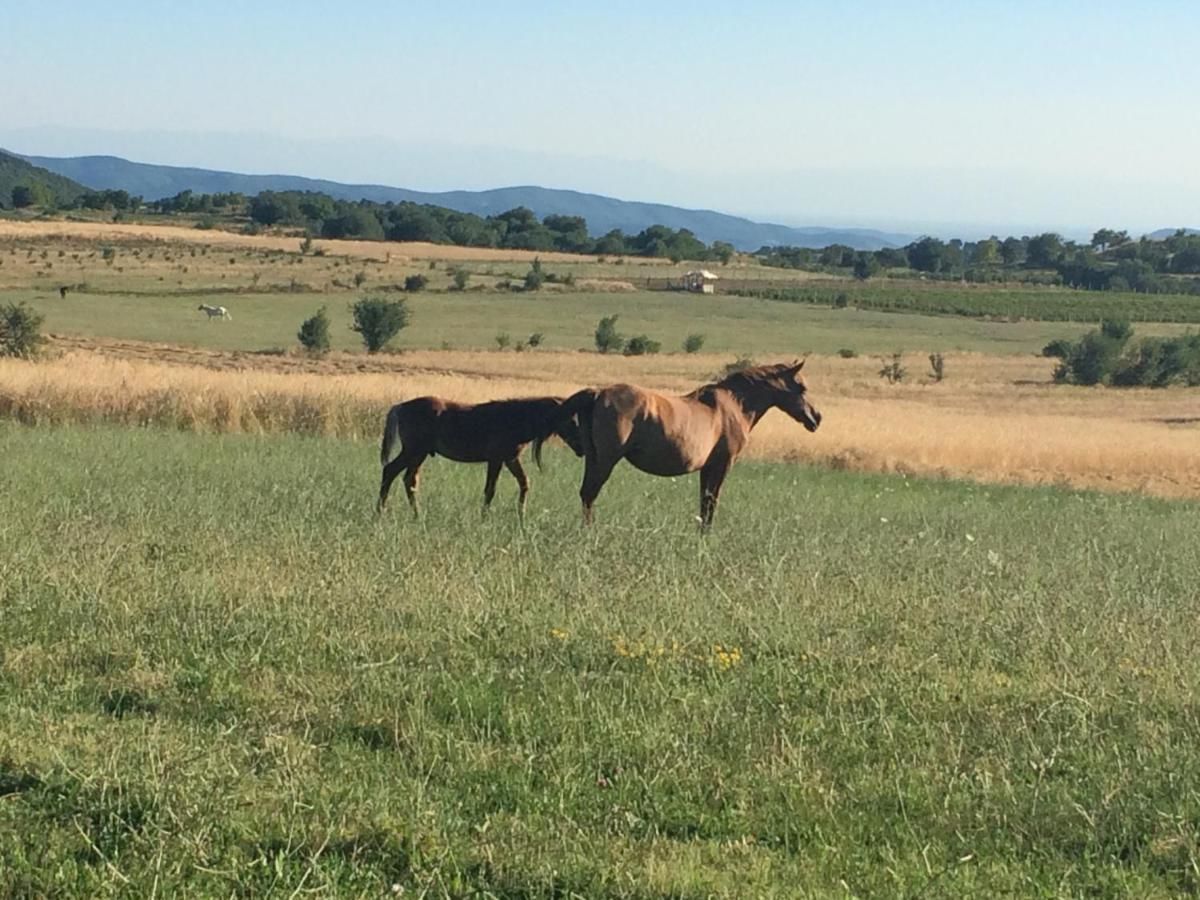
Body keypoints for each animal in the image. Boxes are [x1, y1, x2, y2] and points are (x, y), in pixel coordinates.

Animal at [374, 398, 580, 518]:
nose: (581, 448)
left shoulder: (510, 459)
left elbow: (524, 482)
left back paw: (416, 514)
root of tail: (400, 407)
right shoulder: (496, 459)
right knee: (390, 471)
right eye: (570, 419)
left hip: (418, 454)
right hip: (414, 451)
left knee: (409, 480)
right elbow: (490, 489)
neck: (514, 419)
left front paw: (521, 514)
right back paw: (381, 511)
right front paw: (484, 516)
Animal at [537, 362, 825, 528]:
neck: (734, 405)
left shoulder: (707, 468)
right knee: (590, 494)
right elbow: (711, 503)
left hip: (593, 458)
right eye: (801, 387)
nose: (817, 418)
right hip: (605, 461)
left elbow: (704, 504)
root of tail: (598, 393)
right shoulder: (722, 465)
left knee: (585, 494)